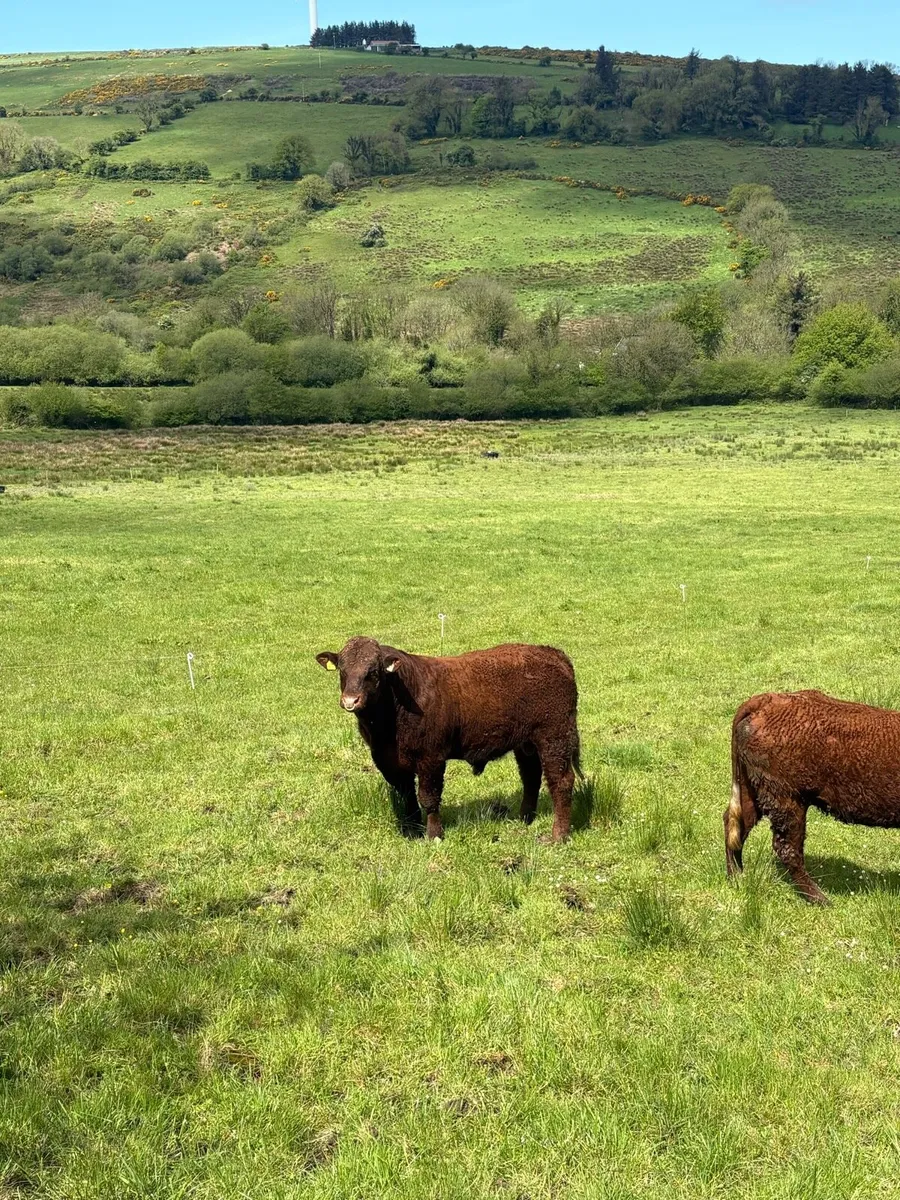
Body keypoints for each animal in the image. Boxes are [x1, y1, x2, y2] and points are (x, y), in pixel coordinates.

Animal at [316, 637, 582, 841]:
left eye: (373, 672)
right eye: (342, 670)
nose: (351, 700)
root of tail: (555, 655)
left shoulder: (431, 758)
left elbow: (428, 798)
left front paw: (434, 834)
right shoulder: (389, 762)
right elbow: (407, 798)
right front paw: (412, 832)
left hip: (554, 737)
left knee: (561, 781)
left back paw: (558, 835)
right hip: (526, 744)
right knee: (531, 777)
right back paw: (525, 818)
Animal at [726, 689, 900, 904]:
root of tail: (766, 700)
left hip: (752, 791)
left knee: (735, 826)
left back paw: (736, 877)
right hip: (788, 800)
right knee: (788, 848)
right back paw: (820, 898)